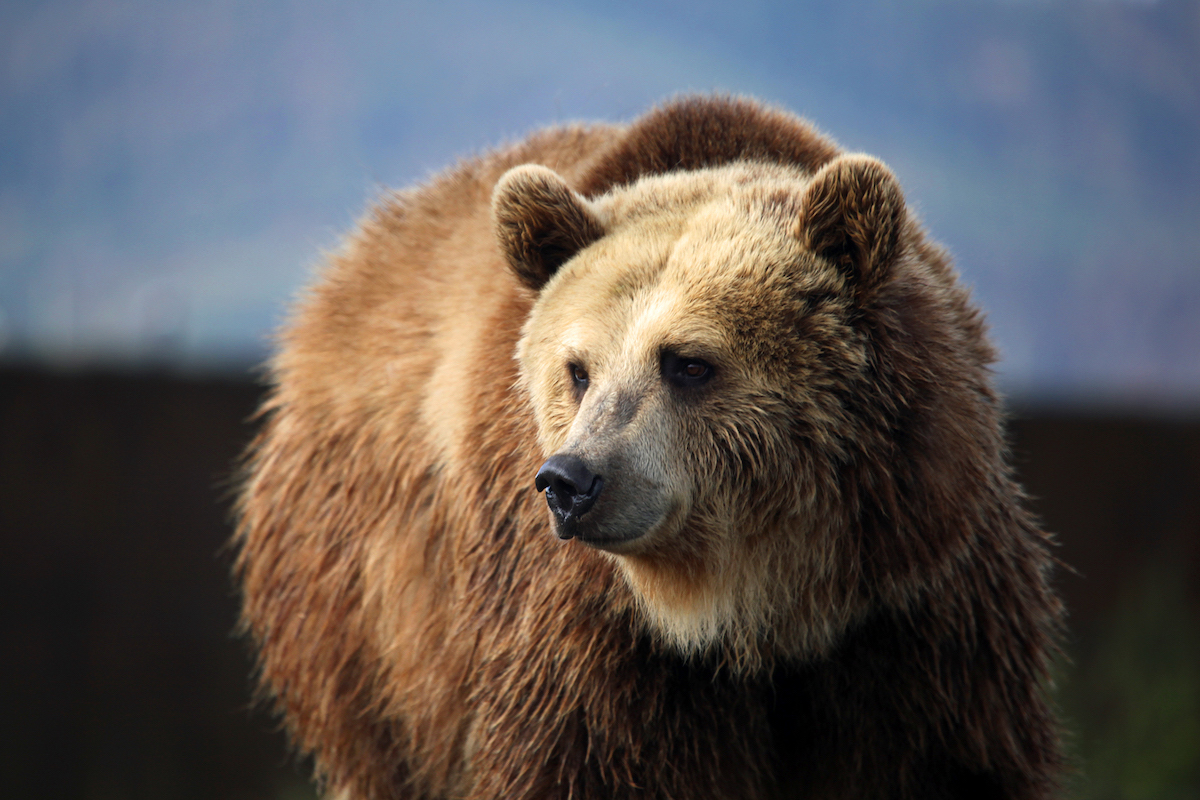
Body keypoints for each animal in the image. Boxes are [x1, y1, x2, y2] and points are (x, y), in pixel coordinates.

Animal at [234, 98, 1060, 800]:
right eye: (577, 370)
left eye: (688, 362)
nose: (570, 481)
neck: (760, 606)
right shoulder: (593, 641)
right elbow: (588, 761)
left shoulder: (913, 609)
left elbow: (942, 764)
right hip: (365, 626)